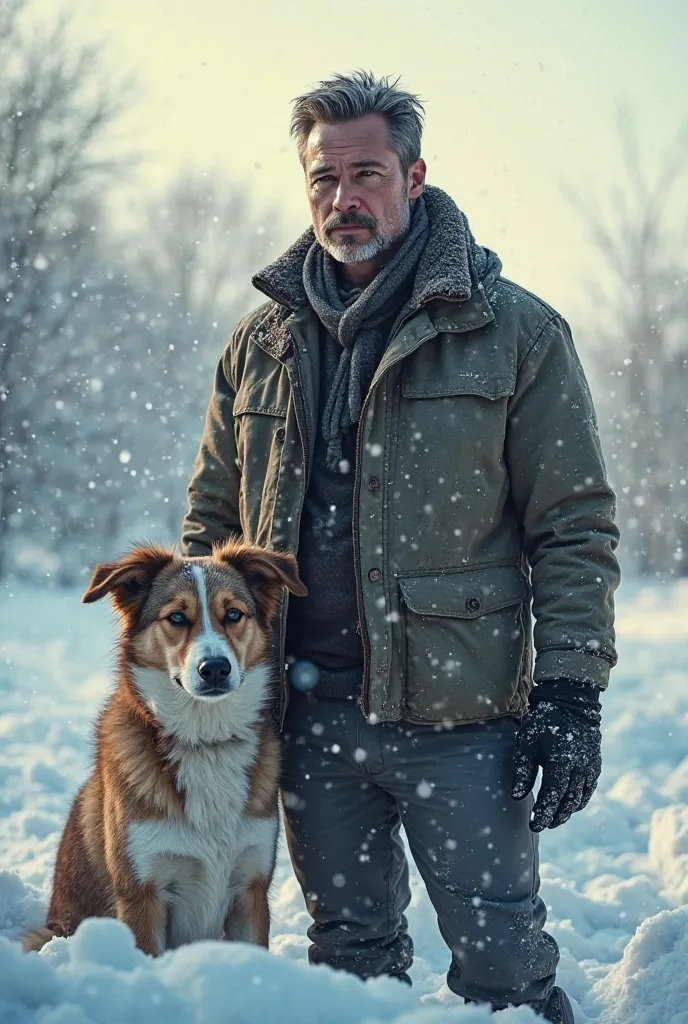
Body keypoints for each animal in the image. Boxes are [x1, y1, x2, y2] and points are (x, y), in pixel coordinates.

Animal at [23, 540, 307, 954]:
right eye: (176, 617)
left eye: (233, 614)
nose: (215, 668)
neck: (205, 741)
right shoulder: (143, 893)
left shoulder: (250, 889)